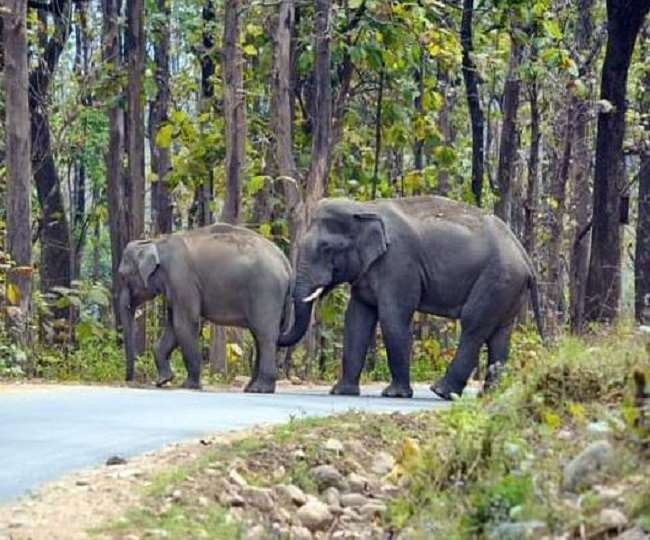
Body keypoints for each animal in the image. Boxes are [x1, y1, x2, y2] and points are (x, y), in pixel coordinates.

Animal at [117, 224, 290, 392]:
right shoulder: (175, 288)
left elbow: (185, 323)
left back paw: (261, 389)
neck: (155, 242)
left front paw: (188, 386)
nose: (128, 380)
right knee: (258, 336)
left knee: (264, 335)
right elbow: (173, 326)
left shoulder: (182, 280)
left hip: (266, 291)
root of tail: (285, 262)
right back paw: (251, 388)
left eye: (122, 276)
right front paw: (163, 380)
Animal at [274, 196, 540, 398]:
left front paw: (394, 394)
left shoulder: (399, 264)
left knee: (473, 325)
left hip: (497, 279)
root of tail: (525, 256)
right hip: (508, 288)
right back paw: (489, 395)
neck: (364, 207)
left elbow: (393, 317)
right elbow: (357, 320)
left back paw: (441, 391)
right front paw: (341, 392)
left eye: (326, 248)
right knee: (500, 335)